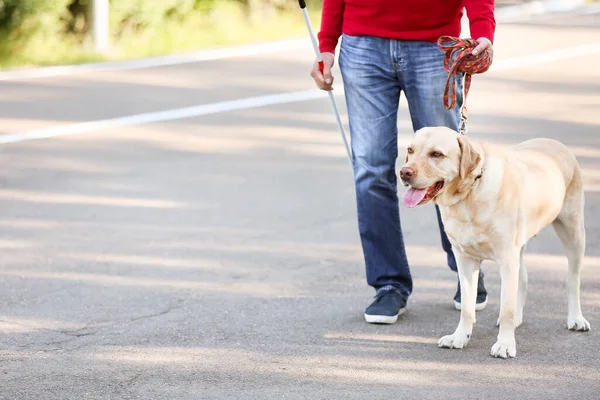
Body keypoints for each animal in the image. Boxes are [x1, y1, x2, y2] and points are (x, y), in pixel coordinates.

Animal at [398, 126, 592, 358]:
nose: (404, 173)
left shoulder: (507, 259)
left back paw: (576, 318)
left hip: (573, 232)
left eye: (436, 154)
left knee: (573, 279)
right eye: (410, 150)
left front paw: (505, 344)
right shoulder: (465, 260)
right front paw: (459, 337)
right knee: (523, 278)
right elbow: (467, 307)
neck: (469, 193)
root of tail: (554, 142)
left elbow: (505, 307)